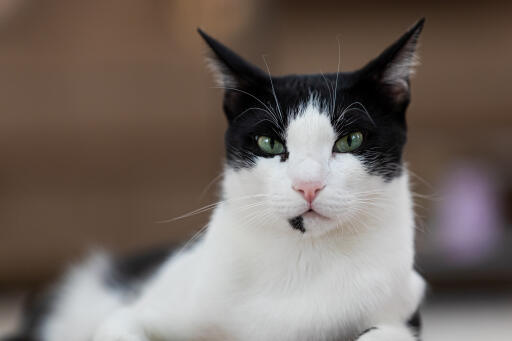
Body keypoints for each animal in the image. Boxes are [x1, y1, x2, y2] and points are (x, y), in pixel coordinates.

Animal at [6, 18, 426, 340]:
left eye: (350, 140)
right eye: (270, 143)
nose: (308, 185)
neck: (305, 262)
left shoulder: (404, 306)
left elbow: (383, 334)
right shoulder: (136, 312)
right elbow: (121, 328)